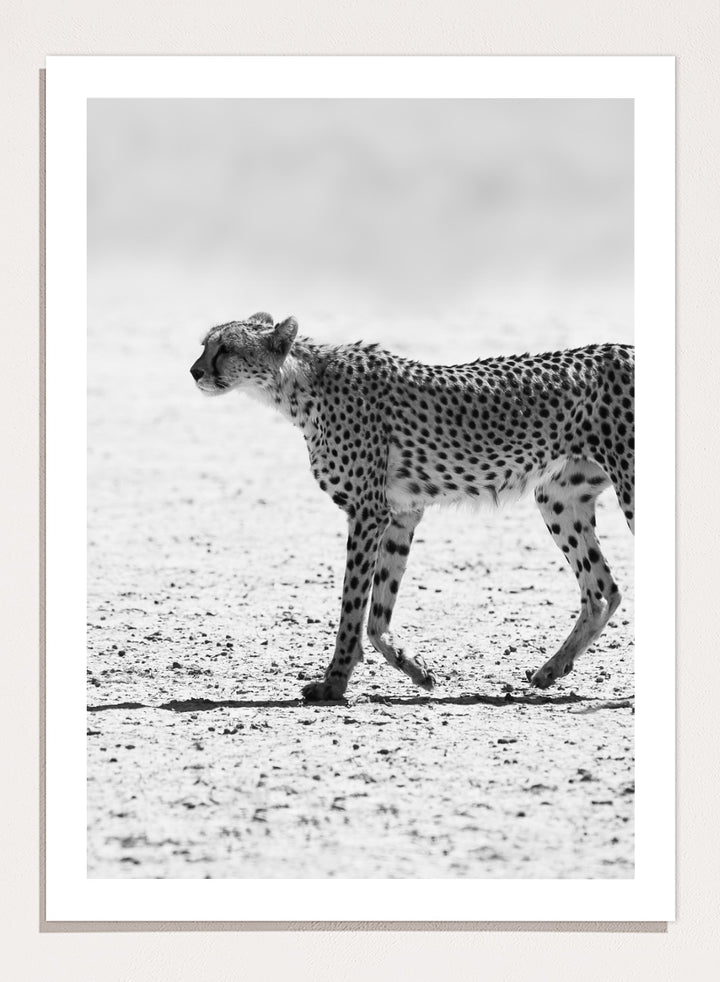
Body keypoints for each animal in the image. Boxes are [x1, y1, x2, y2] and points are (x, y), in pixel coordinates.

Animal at [190, 311, 634, 702]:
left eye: (226, 348)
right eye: (205, 345)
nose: (194, 371)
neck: (300, 384)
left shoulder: (367, 512)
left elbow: (352, 606)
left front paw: (333, 683)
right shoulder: (401, 513)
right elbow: (377, 612)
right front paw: (414, 667)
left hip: (627, 488)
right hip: (558, 498)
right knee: (602, 590)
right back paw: (551, 670)